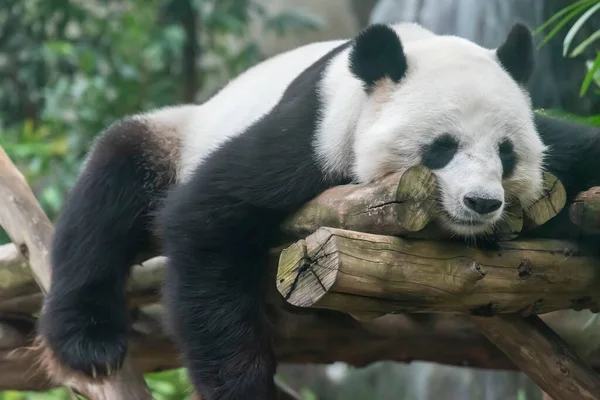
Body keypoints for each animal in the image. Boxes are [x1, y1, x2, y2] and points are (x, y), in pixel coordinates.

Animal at [37, 22, 600, 400]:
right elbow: (204, 220)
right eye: (441, 148)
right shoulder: (311, 138)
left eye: (506, 153)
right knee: (108, 197)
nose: (482, 202)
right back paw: (89, 342)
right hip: (176, 138)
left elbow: (580, 151)